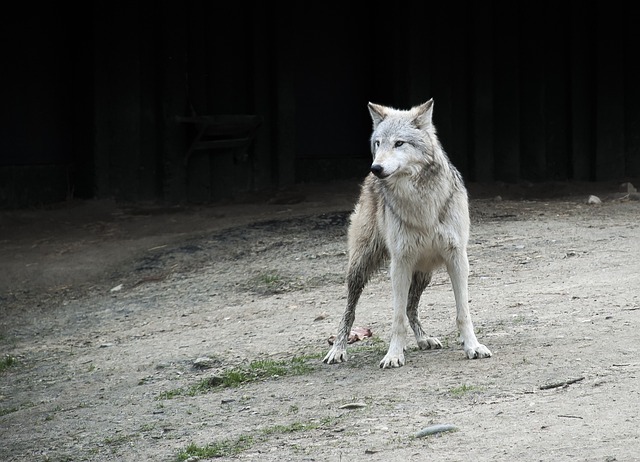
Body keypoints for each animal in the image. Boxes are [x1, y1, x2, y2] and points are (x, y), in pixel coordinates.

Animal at [322, 98, 492, 368]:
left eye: (399, 143)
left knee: (412, 307)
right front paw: (393, 355)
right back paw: (338, 349)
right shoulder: (400, 263)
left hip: (424, 273)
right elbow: (397, 318)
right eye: (378, 143)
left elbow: (462, 312)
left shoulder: (457, 258)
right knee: (350, 310)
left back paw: (424, 339)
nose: (376, 167)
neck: (421, 203)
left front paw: (472, 347)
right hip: (361, 267)